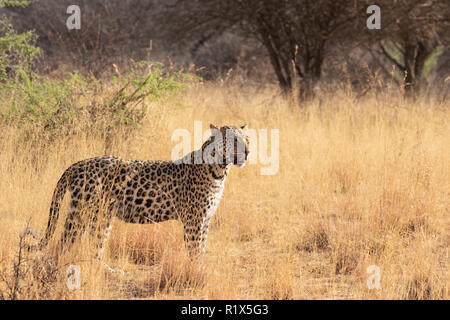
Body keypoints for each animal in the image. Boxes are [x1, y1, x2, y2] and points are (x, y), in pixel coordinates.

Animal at [25, 124, 250, 258]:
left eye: (247, 139)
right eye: (234, 141)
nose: (248, 152)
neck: (219, 171)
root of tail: (76, 164)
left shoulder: (205, 221)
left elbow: (202, 250)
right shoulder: (194, 221)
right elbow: (194, 252)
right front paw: (195, 274)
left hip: (101, 218)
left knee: (94, 248)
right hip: (81, 214)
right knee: (63, 245)